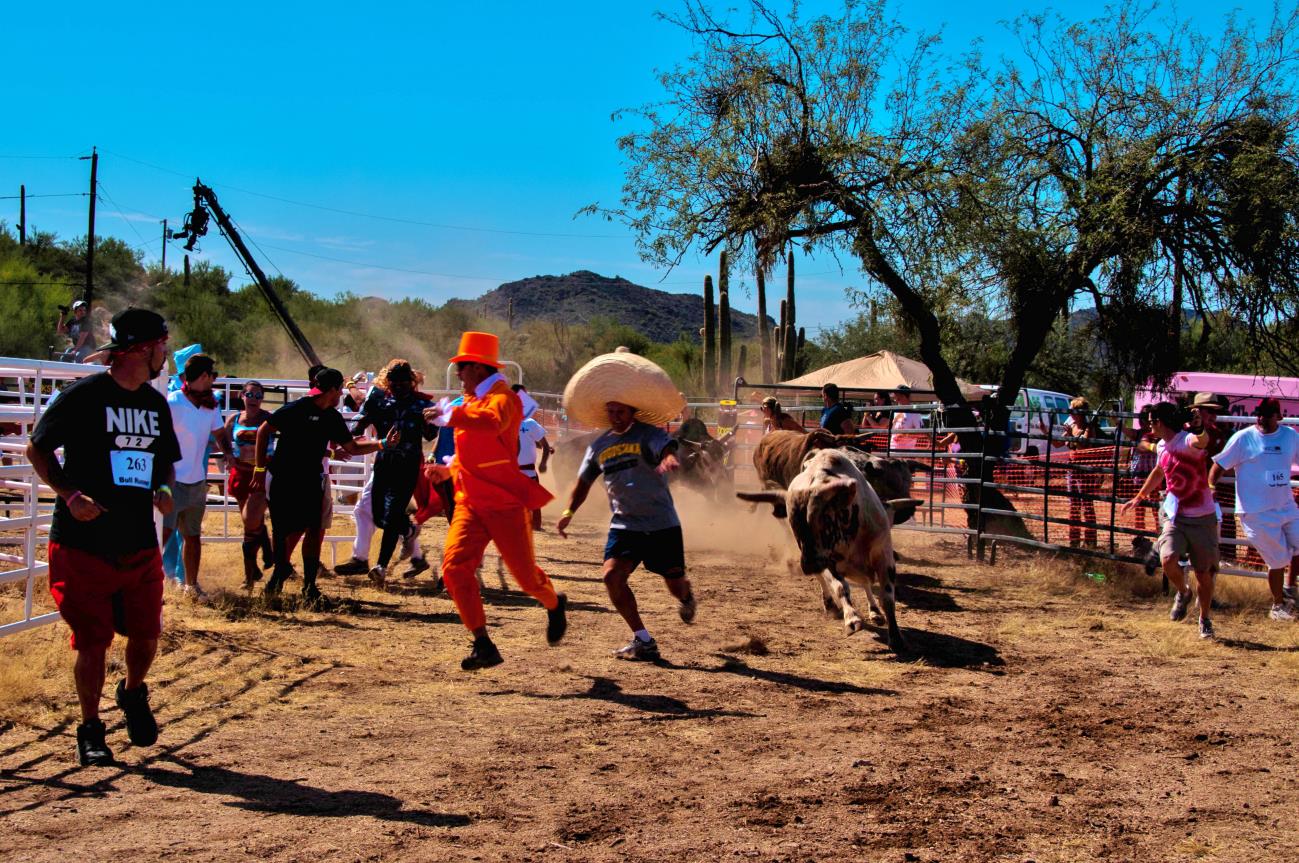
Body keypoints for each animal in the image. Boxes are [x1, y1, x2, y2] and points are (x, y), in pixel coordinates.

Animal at [737, 447, 919, 649]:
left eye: (822, 519)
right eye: (794, 524)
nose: (807, 566)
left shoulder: (883, 556)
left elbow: (887, 597)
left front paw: (895, 636)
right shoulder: (828, 561)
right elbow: (840, 587)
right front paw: (851, 619)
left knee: (865, 583)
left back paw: (875, 612)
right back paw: (831, 604)